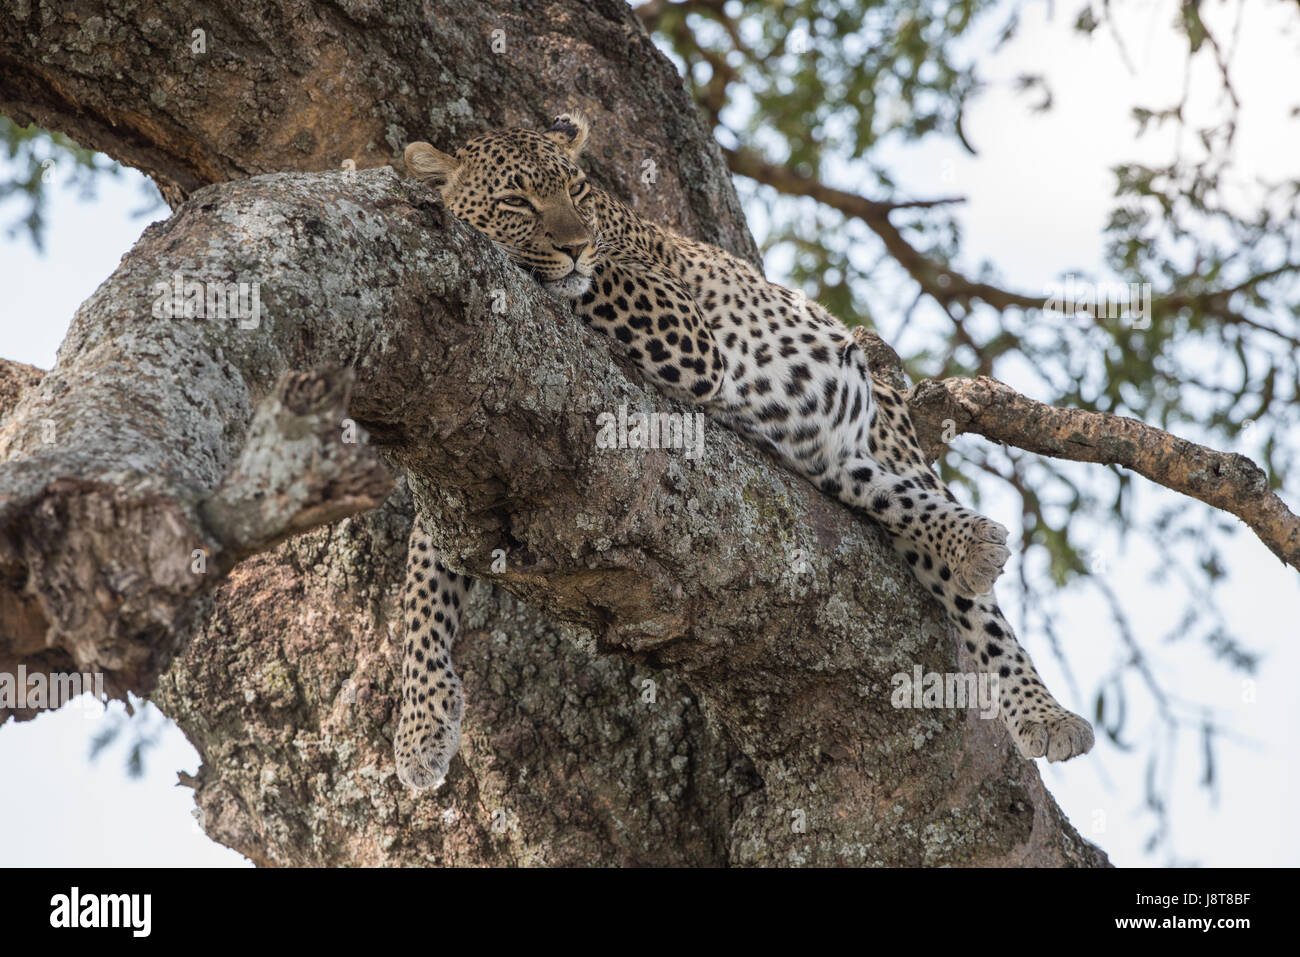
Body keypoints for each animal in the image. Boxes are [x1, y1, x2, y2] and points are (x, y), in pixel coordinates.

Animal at [394, 111, 1095, 791]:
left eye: (577, 191)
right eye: (516, 200)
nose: (574, 245)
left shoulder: (682, 327)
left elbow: (595, 277)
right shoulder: (455, 462)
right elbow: (422, 593)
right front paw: (419, 729)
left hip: (885, 438)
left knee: (977, 606)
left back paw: (1042, 706)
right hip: (833, 461)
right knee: (892, 498)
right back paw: (969, 546)